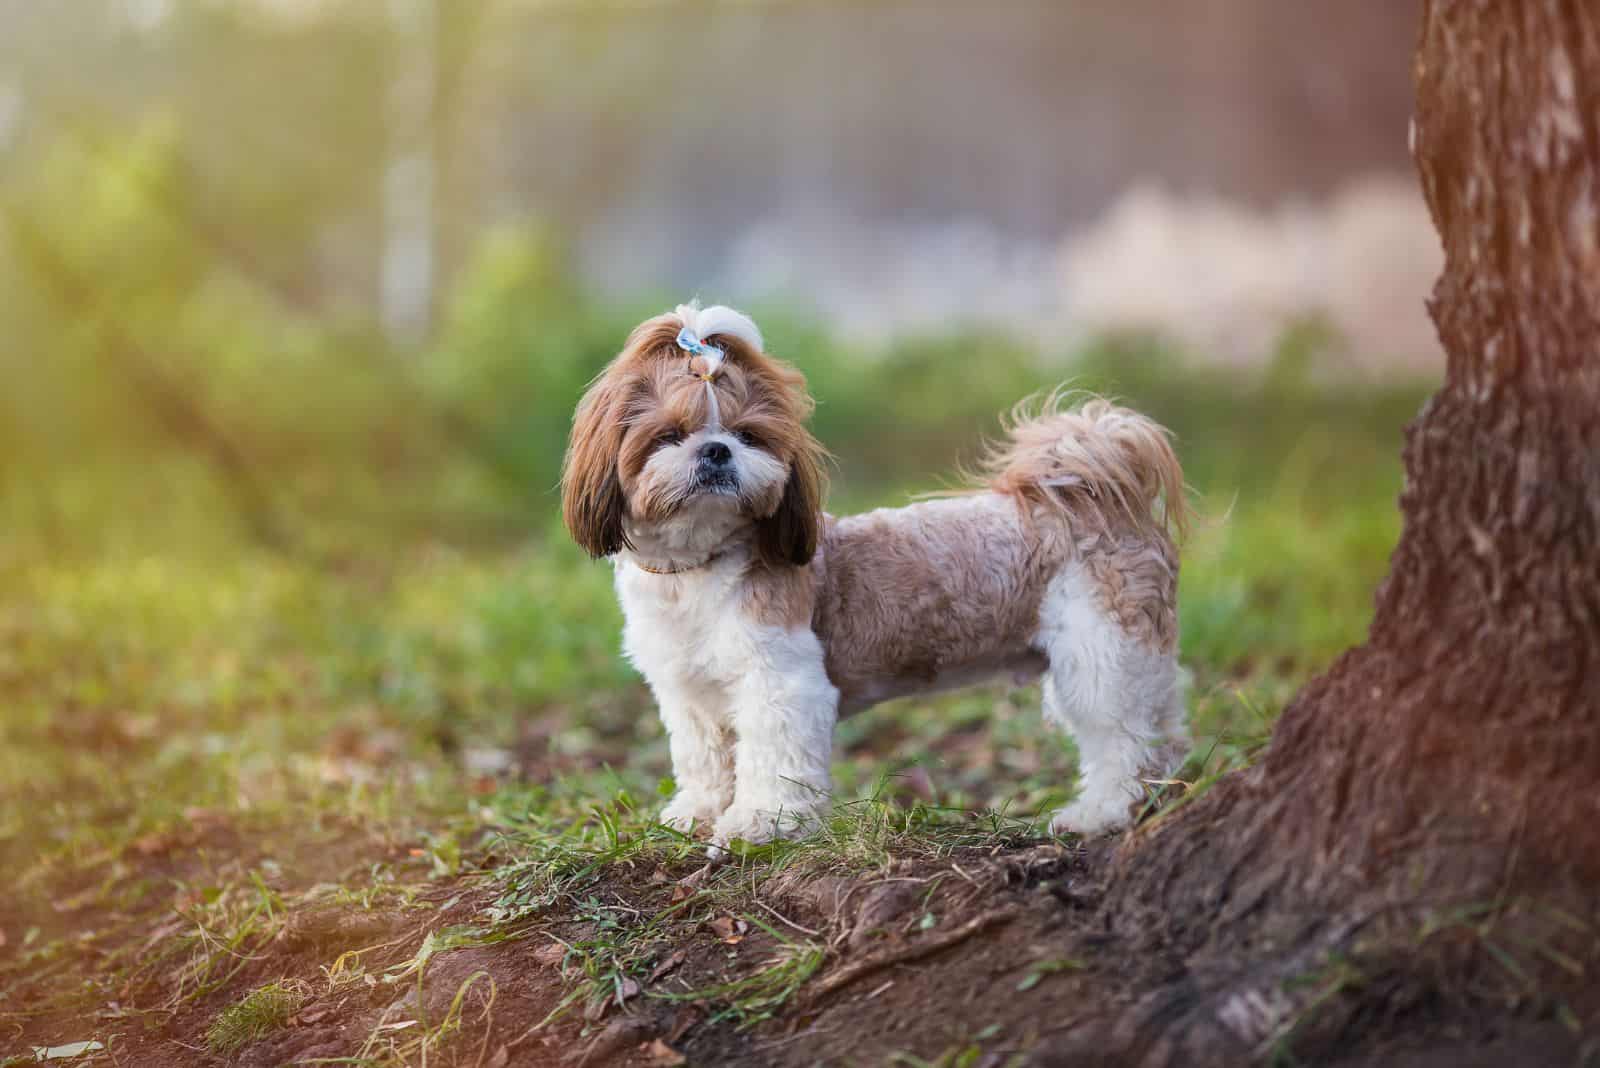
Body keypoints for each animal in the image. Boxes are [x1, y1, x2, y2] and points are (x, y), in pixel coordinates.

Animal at [563, 303, 1190, 844]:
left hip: (1100, 657)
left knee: (1122, 741)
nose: (716, 450)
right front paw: (698, 813)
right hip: (1125, 660)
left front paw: (763, 823)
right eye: (668, 435)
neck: (696, 571)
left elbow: (774, 757)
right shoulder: (689, 695)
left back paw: (1101, 812)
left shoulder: (781, 683)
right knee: (1162, 729)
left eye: (748, 435)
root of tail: (1086, 501)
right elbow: (703, 758)